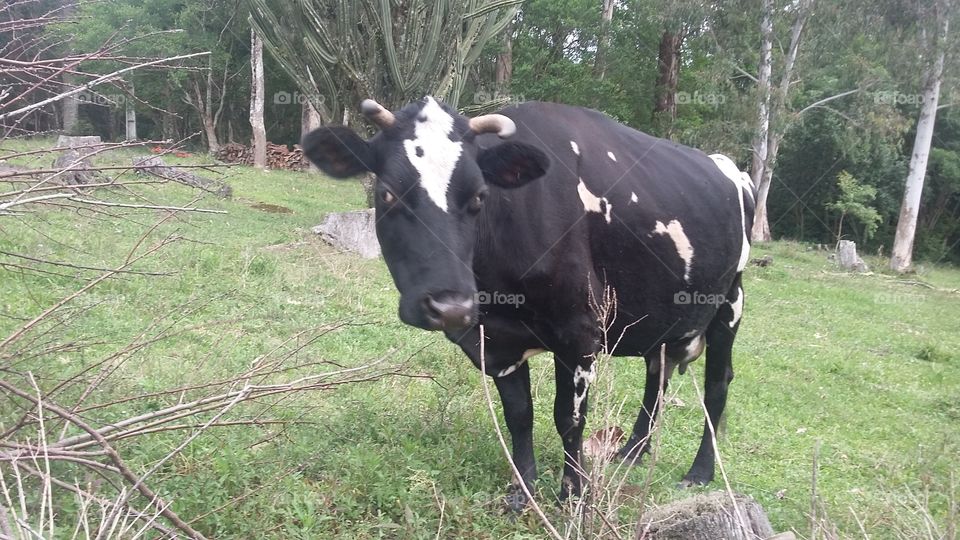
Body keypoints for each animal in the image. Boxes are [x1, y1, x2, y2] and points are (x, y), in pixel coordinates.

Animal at [302, 96, 755, 510]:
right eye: (387, 194)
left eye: (480, 196)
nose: (450, 307)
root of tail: (732, 168)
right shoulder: (493, 338)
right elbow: (519, 414)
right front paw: (523, 491)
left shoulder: (579, 332)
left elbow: (568, 418)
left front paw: (573, 497)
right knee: (656, 379)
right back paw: (630, 453)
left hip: (730, 302)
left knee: (717, 385)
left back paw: (700, 472)